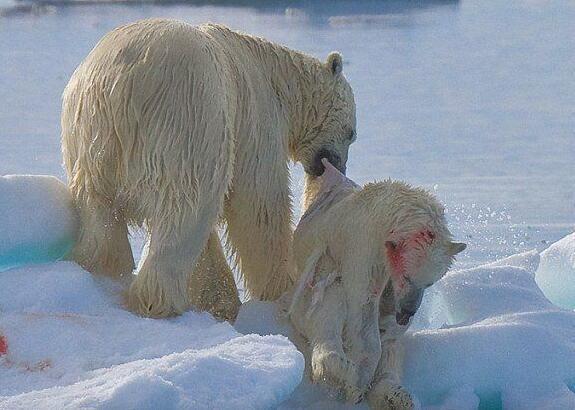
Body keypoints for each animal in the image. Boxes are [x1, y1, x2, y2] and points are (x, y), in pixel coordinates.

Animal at [62, 18, 356, 320]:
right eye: (351, 133)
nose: (337, 167)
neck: (277, 76)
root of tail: (121, 84)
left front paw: (219, 300)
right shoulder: (257, 116)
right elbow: (259, 204)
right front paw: (280, 288)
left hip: (90, 135)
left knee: (97, 207)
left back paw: (100, 270)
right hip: (186, 119)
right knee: (184, 210)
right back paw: (159, 300)